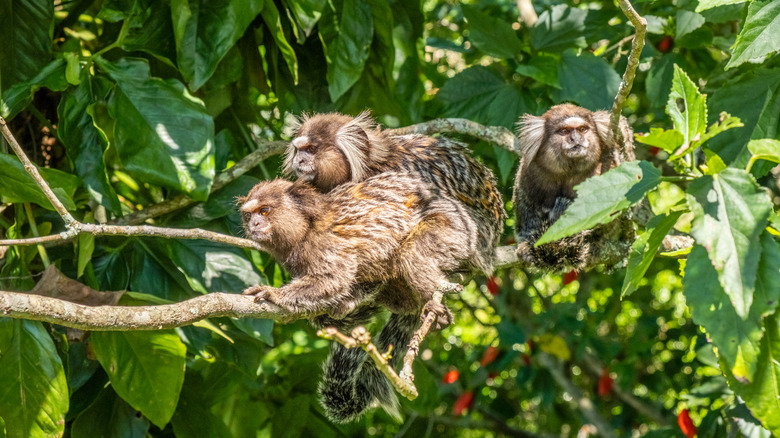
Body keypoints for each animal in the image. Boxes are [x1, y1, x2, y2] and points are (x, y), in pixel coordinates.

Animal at [516, 103, 636, 270]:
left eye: (582, 129)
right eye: (564, 131)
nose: (576, 139)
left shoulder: (607, 167)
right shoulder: (529, 170)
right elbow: (526, 207)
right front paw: (526, 246)